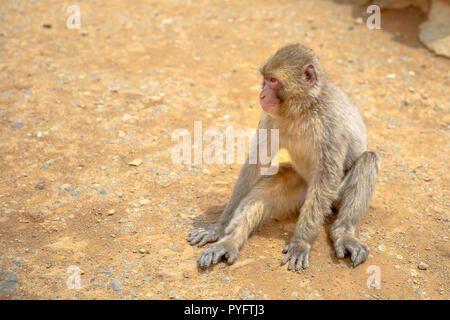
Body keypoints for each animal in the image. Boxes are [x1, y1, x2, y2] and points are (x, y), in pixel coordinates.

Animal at [186, 43, 380, 270]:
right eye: (266, 79)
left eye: (273, 81)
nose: (261, 95)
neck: (303, 109)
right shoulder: (271, 118)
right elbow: (255, 164)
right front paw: (219, 227)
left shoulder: (331, 124)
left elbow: (327, 177)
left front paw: (301, 242)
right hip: (301, 191)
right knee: (271, 185)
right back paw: (231, 240)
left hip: (331, 198)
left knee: (368, 160)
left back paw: (343, 233)